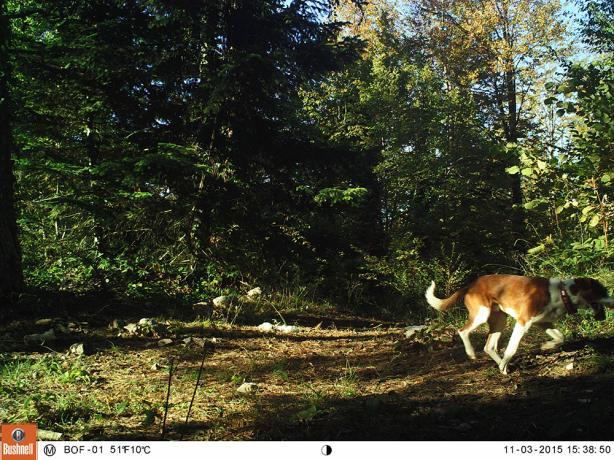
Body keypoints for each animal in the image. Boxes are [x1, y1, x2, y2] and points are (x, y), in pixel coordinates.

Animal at [426, 274, 612, 372]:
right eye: (602, 291)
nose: (613, 301)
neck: (562, 294)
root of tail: (472, 284)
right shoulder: (522, 322)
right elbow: (512, 348)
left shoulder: (543, 323)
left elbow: (561, 337)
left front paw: (547, 346)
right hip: (481, 314)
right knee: (462, 331)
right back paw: (472, 353)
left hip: (499, 321)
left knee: (489, 346)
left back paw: (503, 367)